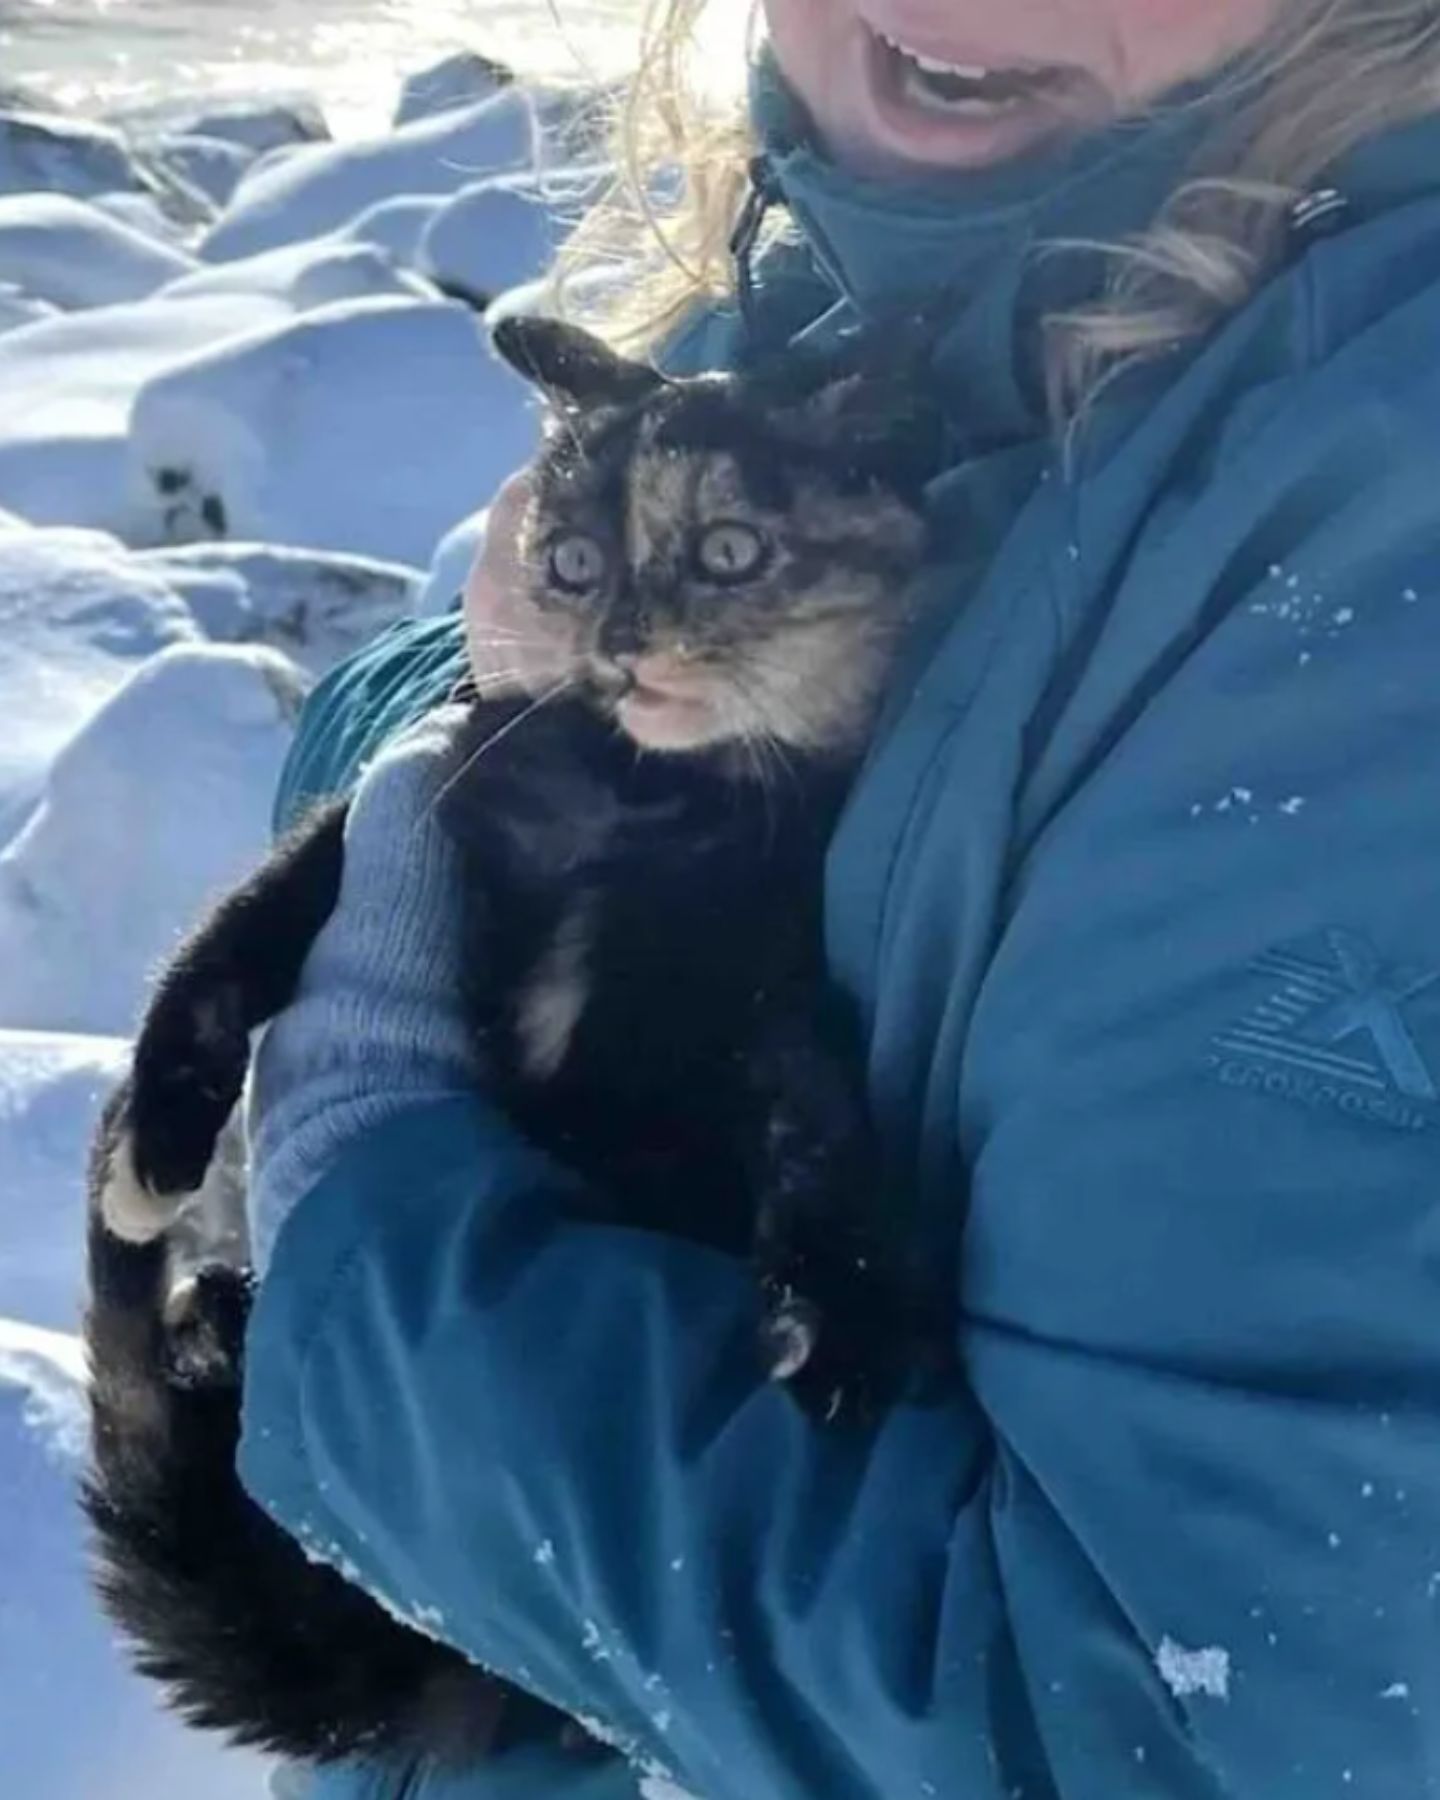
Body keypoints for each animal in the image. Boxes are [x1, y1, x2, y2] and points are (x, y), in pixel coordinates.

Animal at [84, 316, 950, 1778]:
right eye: (576, 562)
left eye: (730, 550)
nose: (623, 640)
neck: (637, 806)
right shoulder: (434, 783)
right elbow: (244, 922)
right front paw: (154, 1144)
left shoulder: (762, 968)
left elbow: (820, 1104)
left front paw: (842, 1309)